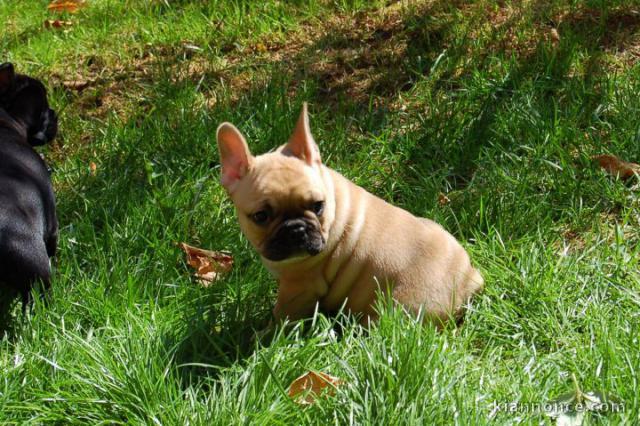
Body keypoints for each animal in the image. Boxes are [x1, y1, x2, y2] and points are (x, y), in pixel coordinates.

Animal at [218, 105, 482, 324]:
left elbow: (282, 318)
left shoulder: (298, 288)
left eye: (318, 206)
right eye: (261, 216)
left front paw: (266, 338)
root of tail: (467, 280)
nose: (296, 228)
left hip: (392, 310)